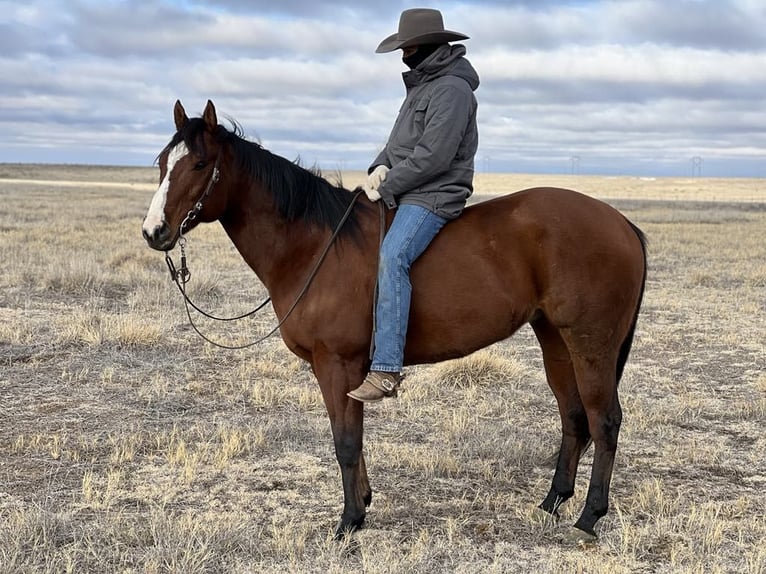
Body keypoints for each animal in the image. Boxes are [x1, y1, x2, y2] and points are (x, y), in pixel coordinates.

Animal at [142, 100, 648, 544]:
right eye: (162, 162)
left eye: (200, 163)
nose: (153, 232)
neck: (316, 245)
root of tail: (621, 223)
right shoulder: (347, 371)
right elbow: (354, 437)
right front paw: (363, 504)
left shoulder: (336, 364)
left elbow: (346, 442)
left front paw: (348, 522)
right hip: (555, 341)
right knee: (574, 417)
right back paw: (552, 503)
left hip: (591, 345)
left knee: (604, 421)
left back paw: (589, 517)